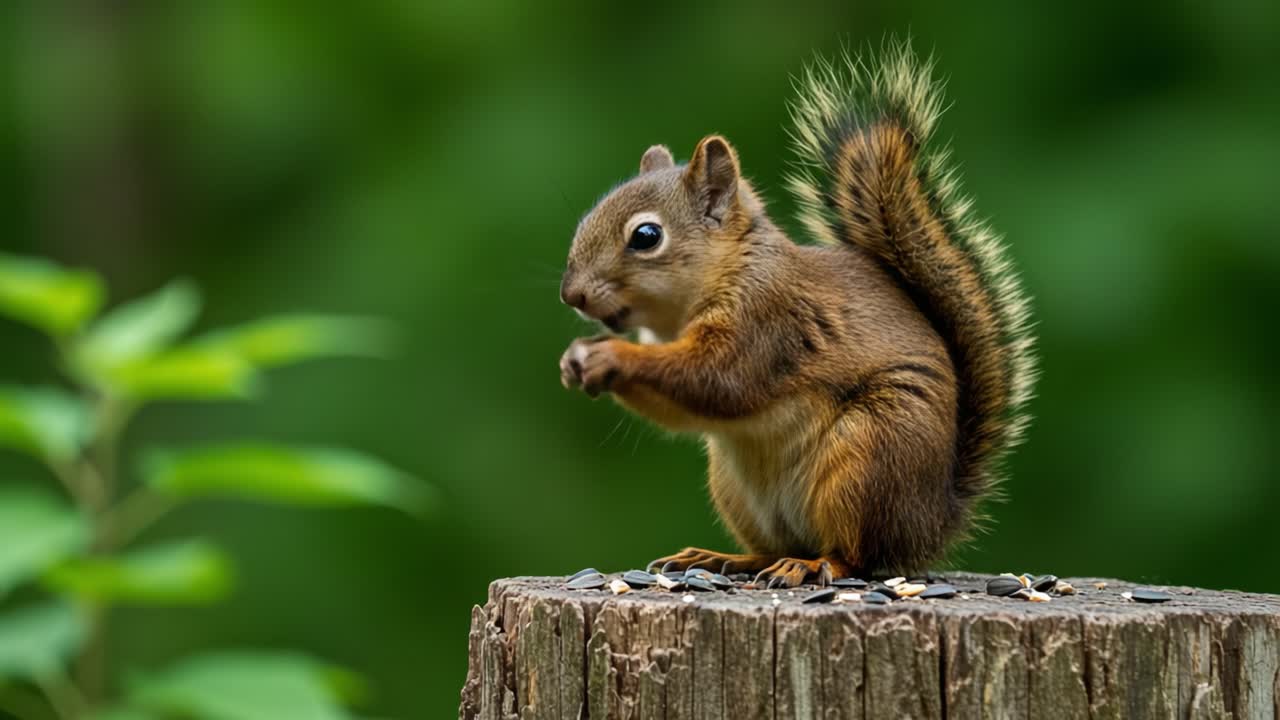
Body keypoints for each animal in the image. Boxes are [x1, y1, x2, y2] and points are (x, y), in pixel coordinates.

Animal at [557, 42, 1036, 586]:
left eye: (646, 236)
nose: (571, 294)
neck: (724, 274)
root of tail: (931, 522)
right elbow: (684, 407)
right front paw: (576, 360)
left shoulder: (767, 320)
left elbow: (716, 379)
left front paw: (610, 356)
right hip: (737, 486)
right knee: (777, 547)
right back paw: (723, 559)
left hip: (870, 455)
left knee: (856, 555)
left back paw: (811, 565)